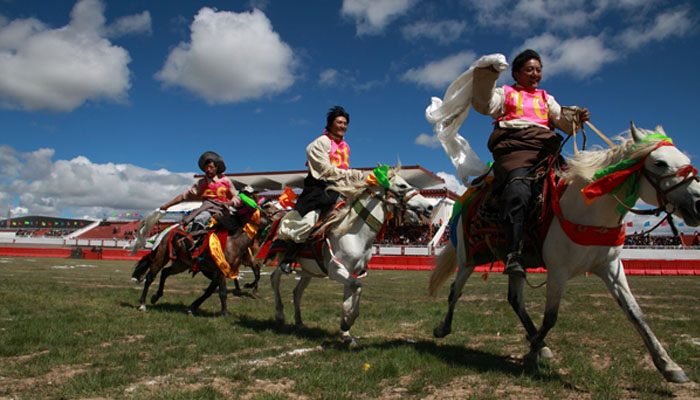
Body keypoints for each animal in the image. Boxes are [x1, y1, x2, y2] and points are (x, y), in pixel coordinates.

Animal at [131, 209, 274, 316]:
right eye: (268, 217)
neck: (233, 242)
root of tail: (166, 232)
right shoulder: (220, 270)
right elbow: (222, 291)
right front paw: (225, 312)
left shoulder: (217, 271)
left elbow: (210, 291)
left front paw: (192, 308)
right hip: (162, 256)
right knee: (150, 277)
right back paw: (142, 304)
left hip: (182, 264)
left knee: (165, 272)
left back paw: (156, 296)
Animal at [268, 166, 432, 346]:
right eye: (402, 185)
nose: (430, 207)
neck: (354, 233)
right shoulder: (336, 270)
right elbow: (358, 287)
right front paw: (348, 323)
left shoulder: (351, 272)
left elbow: (347, 302)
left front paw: (345, 333)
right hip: (283, 258)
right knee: (274, 278)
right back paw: (279, 315)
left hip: (307, 271)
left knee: (297, 292)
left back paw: (299, 321)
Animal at [430, 123, 696, 382]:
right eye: (660, 163)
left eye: (684, 158)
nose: (697, 203)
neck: (587, 212)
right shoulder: (558, 271)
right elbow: (551, 317)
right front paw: (531, 352)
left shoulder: (611, 267)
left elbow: (636, 312)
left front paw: (669, 365)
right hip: (468, 258)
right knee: (455, 292)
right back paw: (443, 328)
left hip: (515, 262)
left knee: (515, 299)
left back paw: (540, 344)